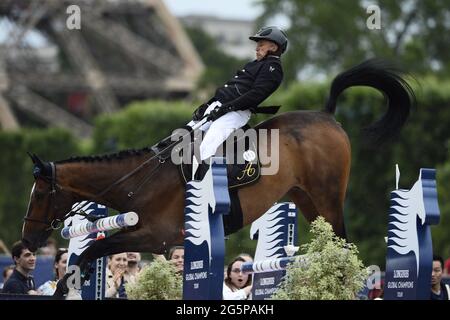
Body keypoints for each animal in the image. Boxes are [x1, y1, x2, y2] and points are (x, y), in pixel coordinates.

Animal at [22, 58, 414, 296]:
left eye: (39, 194)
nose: (28, 241)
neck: (141, 178)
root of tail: (327, 115)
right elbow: (92, 250)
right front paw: (74, 281)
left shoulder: (154, 236)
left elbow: (97, 247)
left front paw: (67, 285)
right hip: (306, 199)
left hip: (328, 197)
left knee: (344, 248)